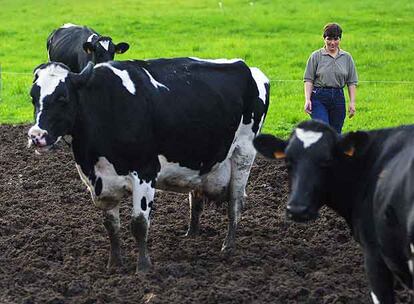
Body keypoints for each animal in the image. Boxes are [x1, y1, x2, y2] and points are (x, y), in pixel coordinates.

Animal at [27, 58, 270, 272]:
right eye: (33, 97)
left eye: (63, 97)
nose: (36, 135)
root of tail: (249, 67)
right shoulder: (101, 183)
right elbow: (111, 226)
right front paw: (114, 264)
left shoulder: (144, 172)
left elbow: (139, 224)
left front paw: (143, 267)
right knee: (196, 199)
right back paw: (191, 235)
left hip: (243, 154)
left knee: (235, 202)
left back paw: (228, 246)